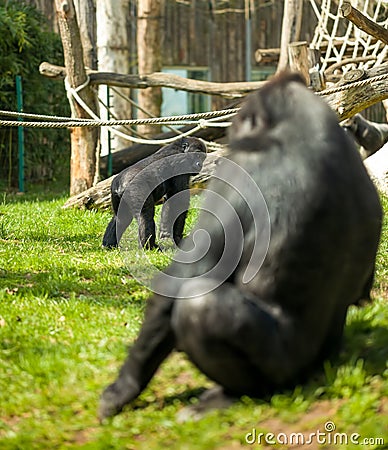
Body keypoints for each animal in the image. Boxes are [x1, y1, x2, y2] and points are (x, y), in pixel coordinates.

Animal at [99, 72, 382, 420]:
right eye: (197, 157)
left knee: (119, 219)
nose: (200, 165)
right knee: (145, 220)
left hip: (117, 195)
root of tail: (117, 180)